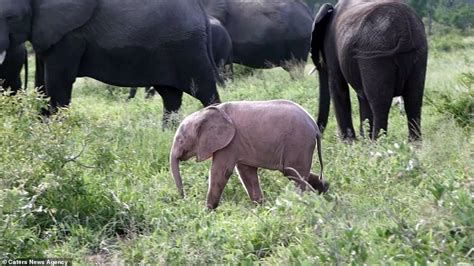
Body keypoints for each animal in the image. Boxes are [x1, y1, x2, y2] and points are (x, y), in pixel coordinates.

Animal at [0, 0, 220, 121]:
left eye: (10, 17)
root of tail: (201, 11)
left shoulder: (71, 35)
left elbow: (57, 82)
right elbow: (42, 83)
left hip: (188, 48)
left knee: (206, 91)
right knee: (170, 96)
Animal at [170, 100, 330, 210]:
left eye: (181, 140)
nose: (184, 199)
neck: (206, 112)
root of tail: (315, 127)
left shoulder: (229, 144)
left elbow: (220, 172)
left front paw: (207, 212)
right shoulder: (237, 145)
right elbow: (246, 172)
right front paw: (261, 208)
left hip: (298, 142)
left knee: (294, 174)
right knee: (298, 174)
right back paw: (324, 189)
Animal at [312, 0, 428, 140]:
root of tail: (404, 30)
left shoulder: (331, 46)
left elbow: (338, 88)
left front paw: (351, 142)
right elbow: (361, 95)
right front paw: (362, 140)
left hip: (376, 55)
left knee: (380, 103)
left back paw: (378, 143)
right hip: (419, 51)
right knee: (413, 99)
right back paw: (413, 144)